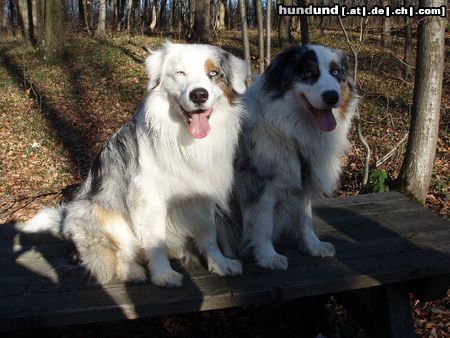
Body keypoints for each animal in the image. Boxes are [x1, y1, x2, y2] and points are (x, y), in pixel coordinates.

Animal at [21, 41, 248, 286]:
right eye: (180, 73)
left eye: (213, 73)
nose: (199, 95)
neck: (186, 141)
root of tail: (64, 221)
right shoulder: (150, 200)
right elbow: (155, 242)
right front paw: (163, 274)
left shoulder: (204, 195)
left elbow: (209, 235)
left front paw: (220, 264)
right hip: (98, 213)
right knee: (118, 254)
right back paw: (133, 271)